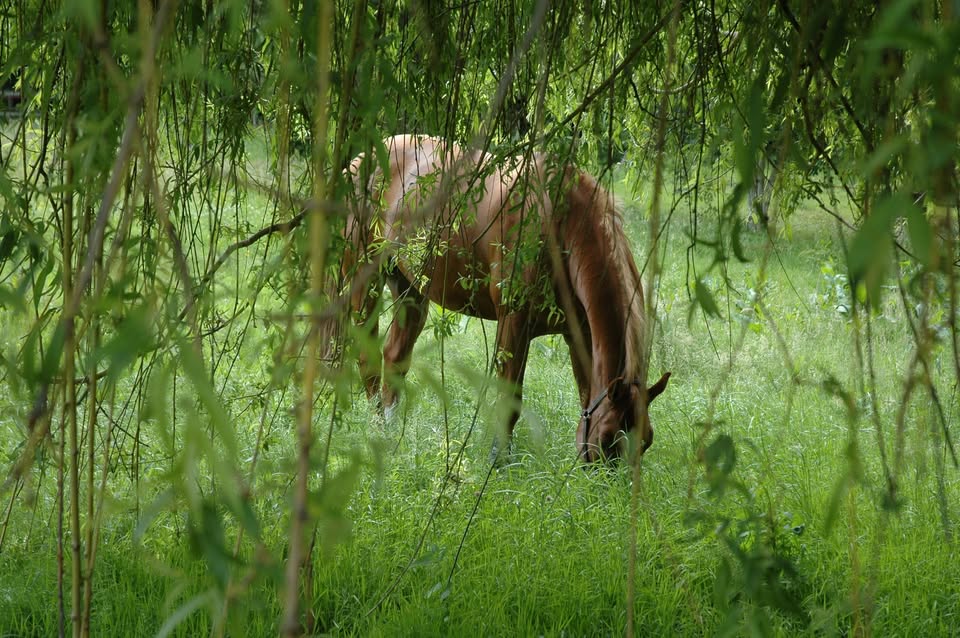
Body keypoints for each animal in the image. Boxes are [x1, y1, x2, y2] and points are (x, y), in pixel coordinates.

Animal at [341, 134, 670, 462]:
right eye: (606, 440)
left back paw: (390, 431)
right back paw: (376, 426)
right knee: (367, 358)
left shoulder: (577, 332)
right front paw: (498, 460)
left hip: (409, 289)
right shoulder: (513, 321)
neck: (559, 222)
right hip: (365, 281)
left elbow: (585, 392)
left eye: (646, 441)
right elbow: (509, 398)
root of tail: (360, 160)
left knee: (394, 357)